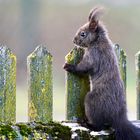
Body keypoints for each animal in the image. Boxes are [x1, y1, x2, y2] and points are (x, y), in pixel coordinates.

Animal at [63, 6, 140, 140]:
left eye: (83, 34)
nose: (74, 41)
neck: (97, 41)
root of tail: (118, 117)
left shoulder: (93, 56)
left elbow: (83, 68)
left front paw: (69, 66)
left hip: (92, 102)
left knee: (100, 126)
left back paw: (88, 124)